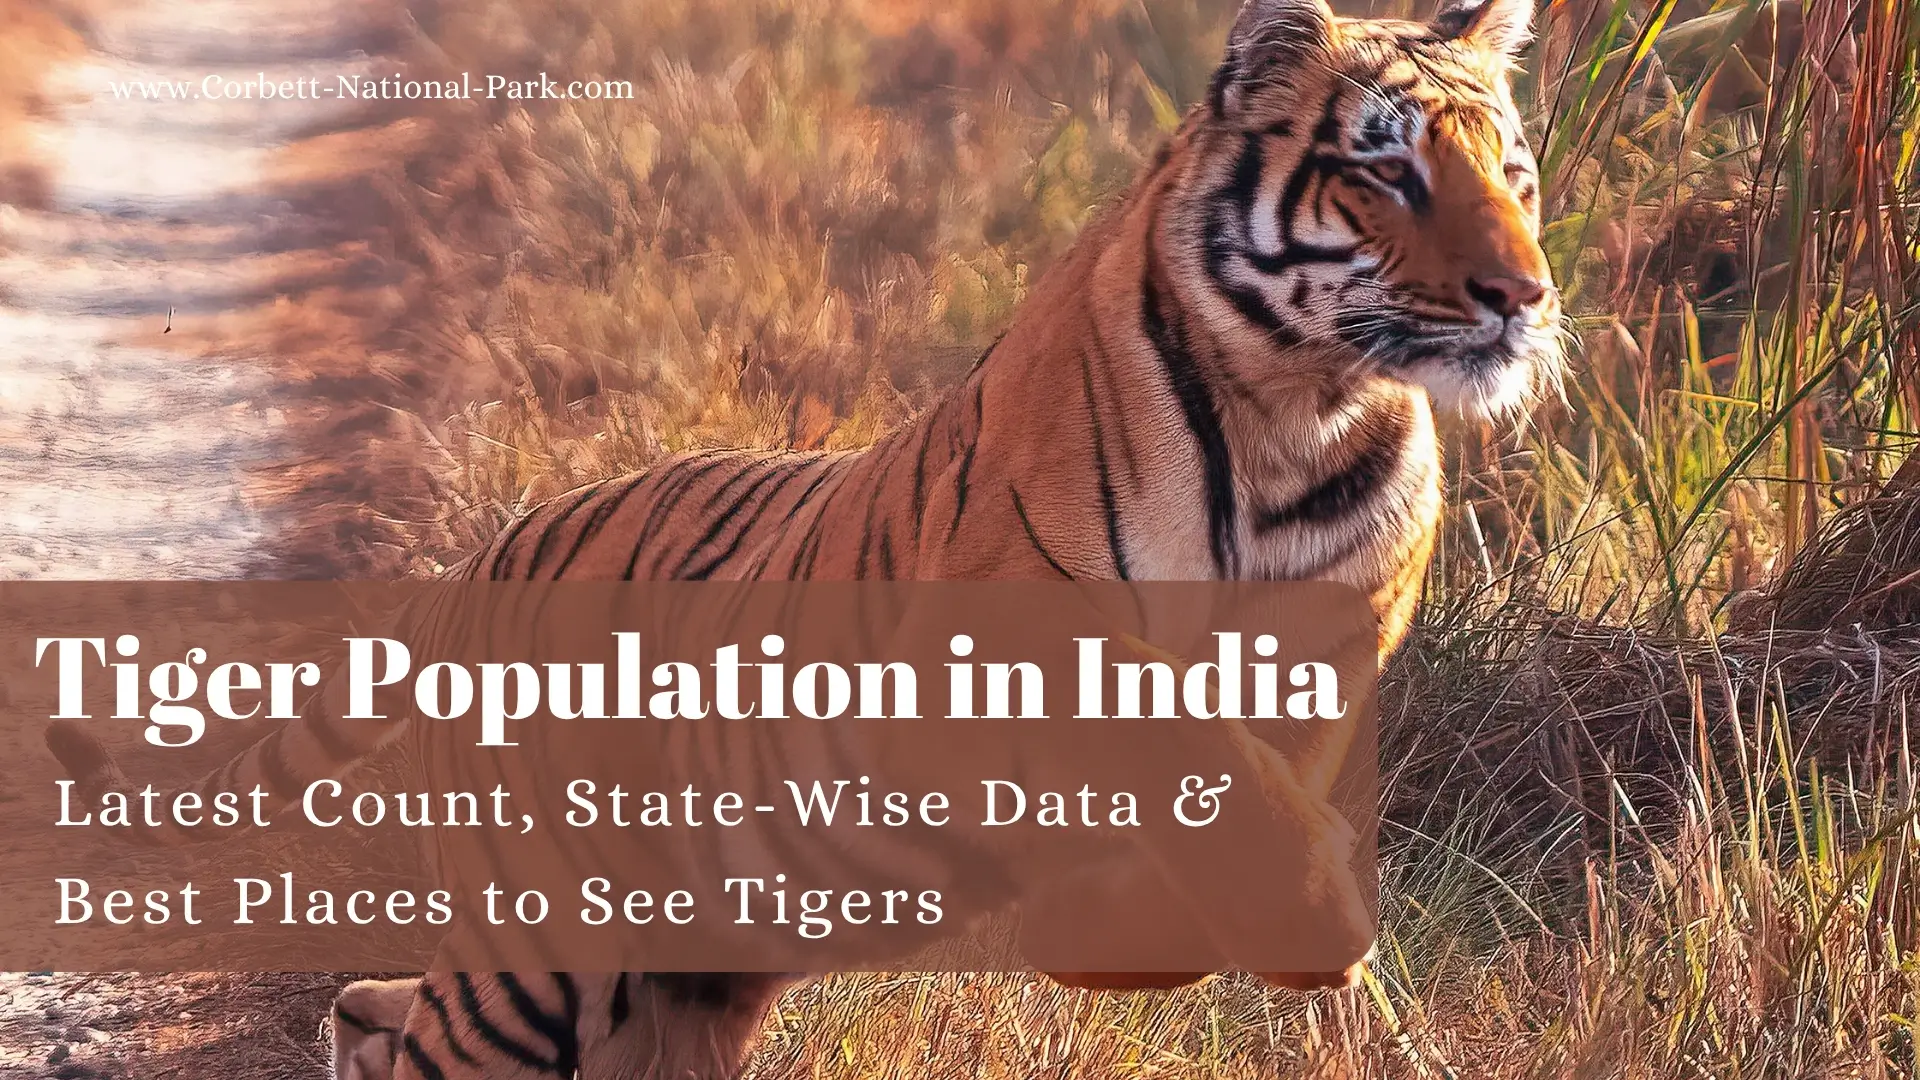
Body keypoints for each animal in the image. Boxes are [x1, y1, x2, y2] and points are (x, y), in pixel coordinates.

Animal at [45, 0, 1563, 1075]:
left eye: (1512, 170)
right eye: (1385, 173)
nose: (1525, 296)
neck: (1297, 417)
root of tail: (481, 560)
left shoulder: (1319, 673)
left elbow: (1258, 817)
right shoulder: (1041, 651)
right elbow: (1207, 772)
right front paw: (1299, 919)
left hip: (674, 989)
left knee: (387, 1010)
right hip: (541, 954)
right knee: (425, 1031)